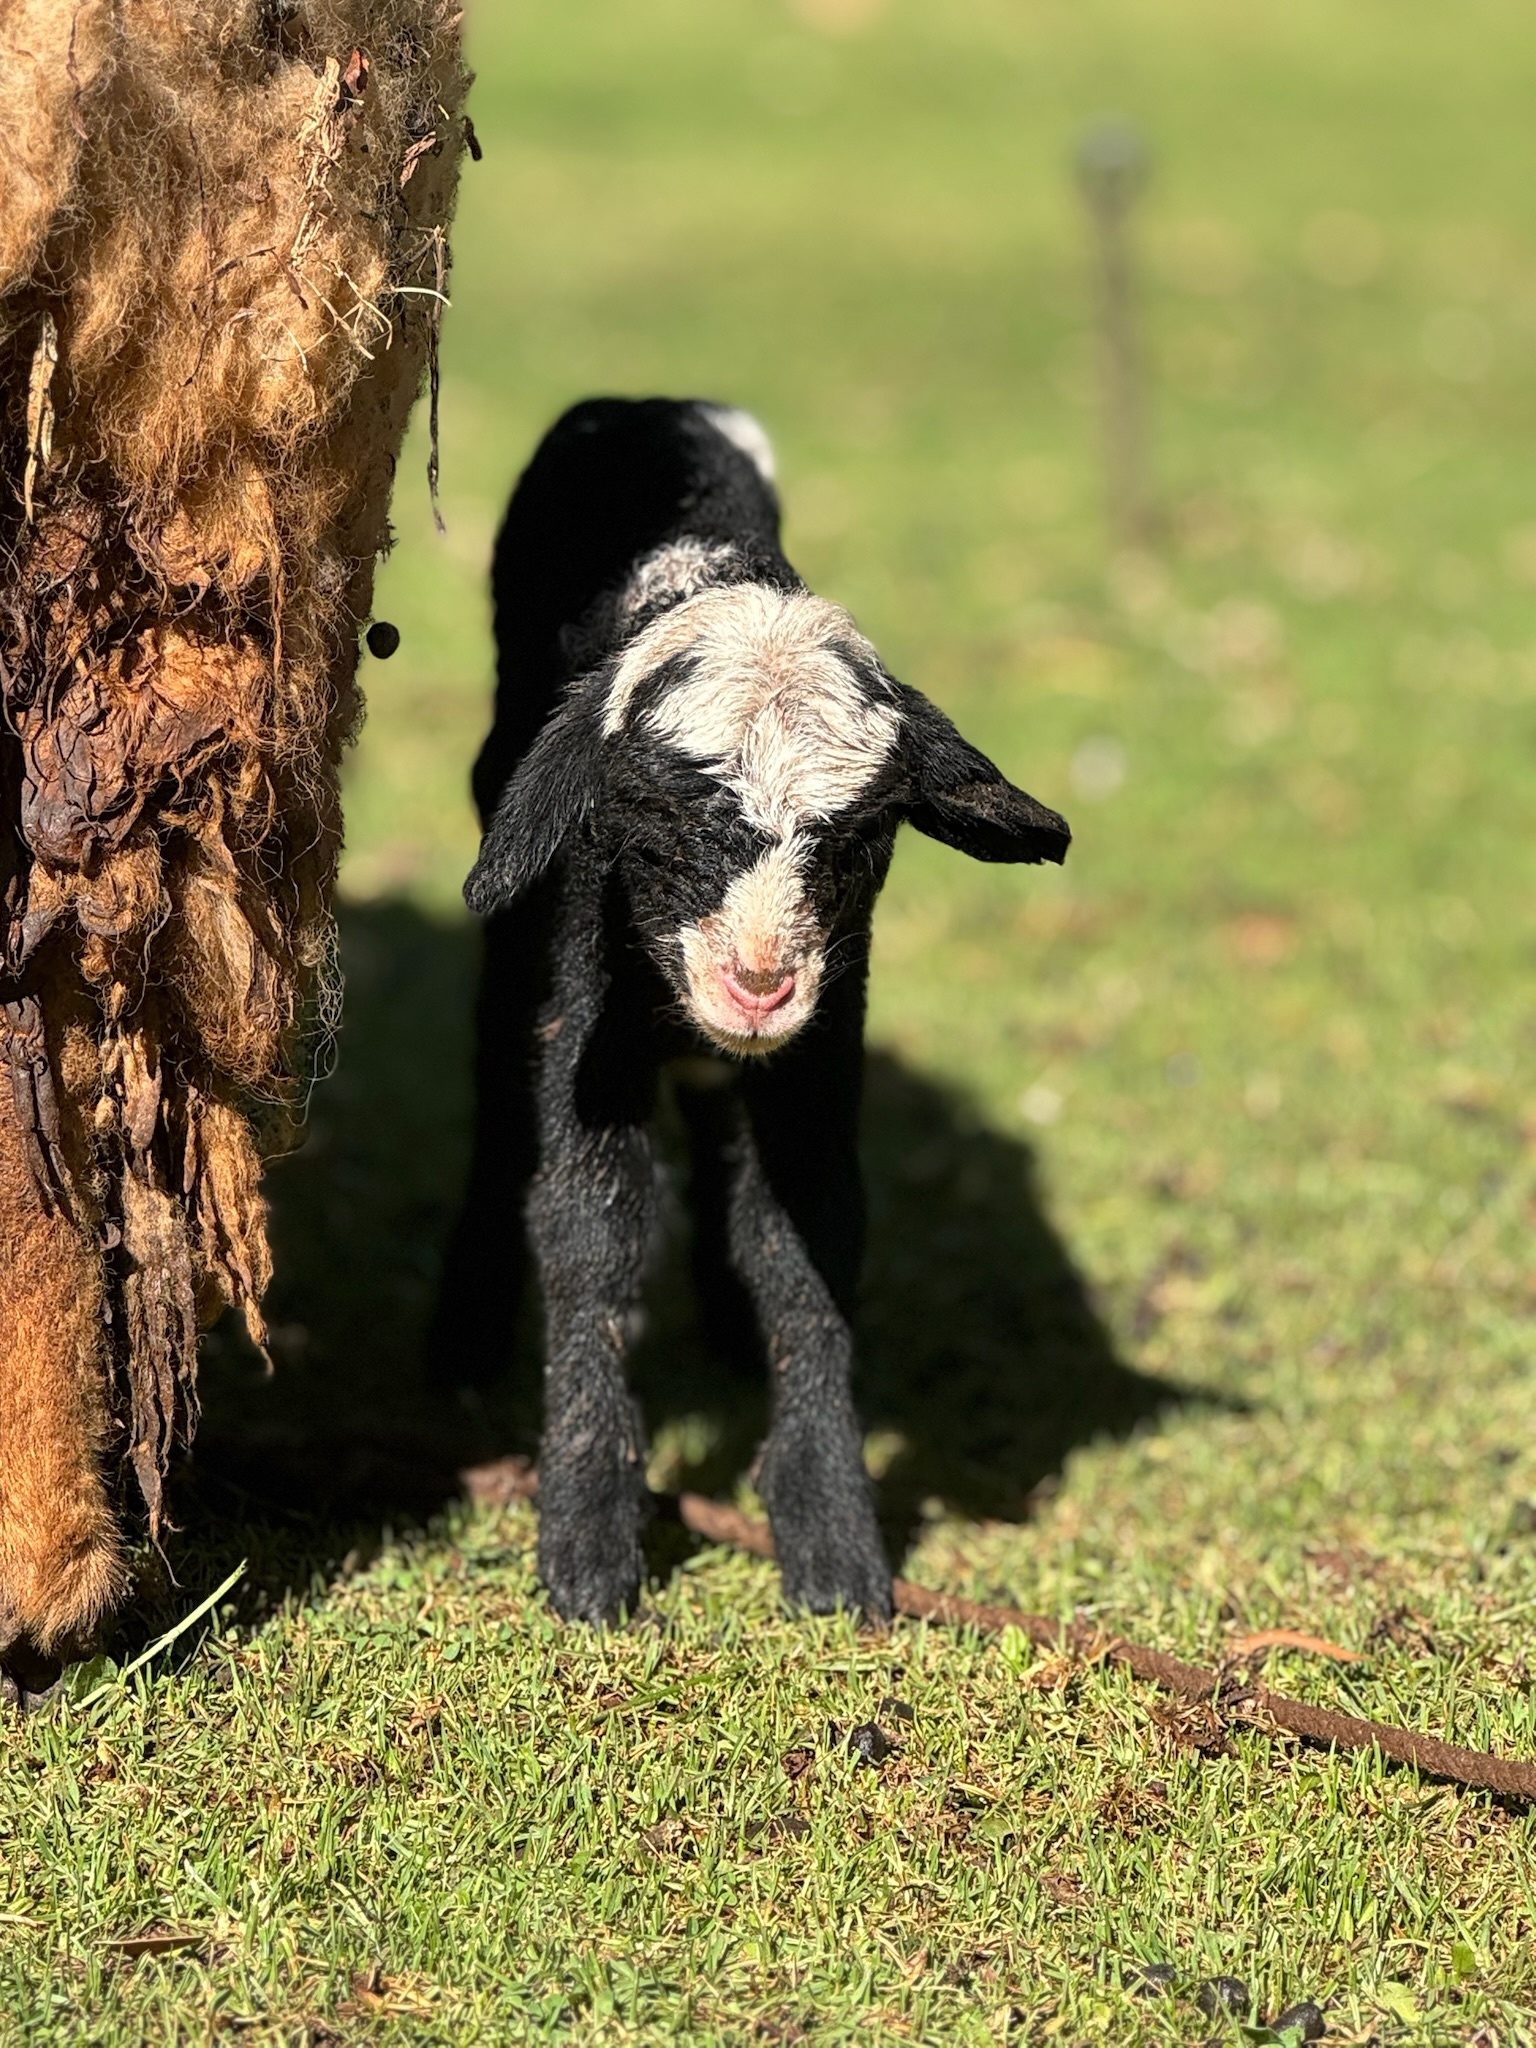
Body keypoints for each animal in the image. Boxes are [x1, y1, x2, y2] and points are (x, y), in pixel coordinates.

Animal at [449, 396, 1071, 1626]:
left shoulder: (819, 1047)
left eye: (864, 837)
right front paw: (587, 1538)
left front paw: (830, 1534)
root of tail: (648, 403)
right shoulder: (586, 1021)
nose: (758, 983)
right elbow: (589, 1228)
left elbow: (805, 1236)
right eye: (642, 819)